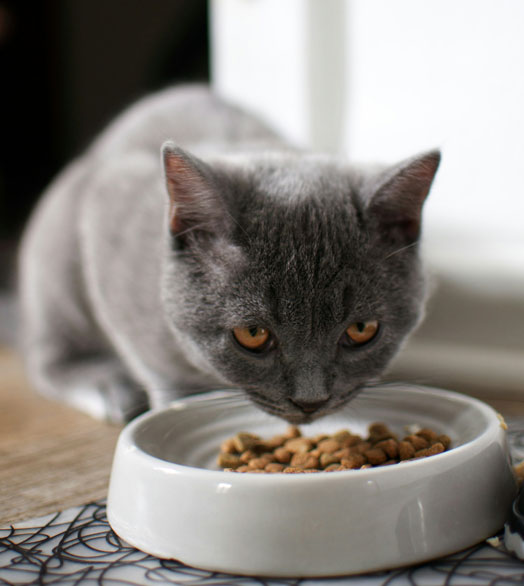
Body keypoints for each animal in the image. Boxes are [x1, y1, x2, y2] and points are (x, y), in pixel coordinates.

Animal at [18, 84, 440, 422]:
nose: (310, 401)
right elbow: (157, 367)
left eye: (361, 330)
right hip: (57, 253)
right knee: (46, 356)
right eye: (252, 334)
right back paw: (107, 388)